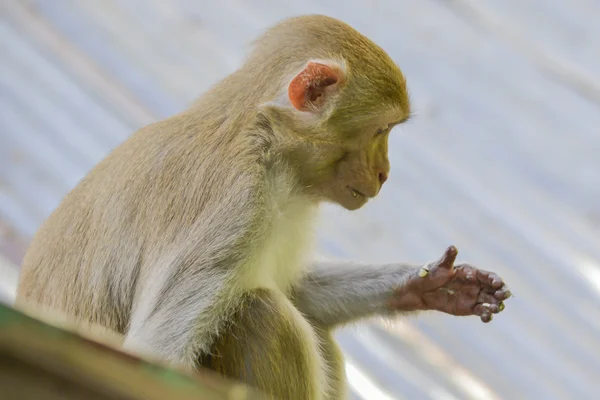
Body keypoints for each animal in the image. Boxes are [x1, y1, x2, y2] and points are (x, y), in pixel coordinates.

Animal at [15, 14, 510, 400]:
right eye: (380, 130)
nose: (385, 172)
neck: (266, 146)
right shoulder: (235, 205)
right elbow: (153, 352)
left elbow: (297, 289)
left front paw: (431, 285)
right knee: (259, 310)